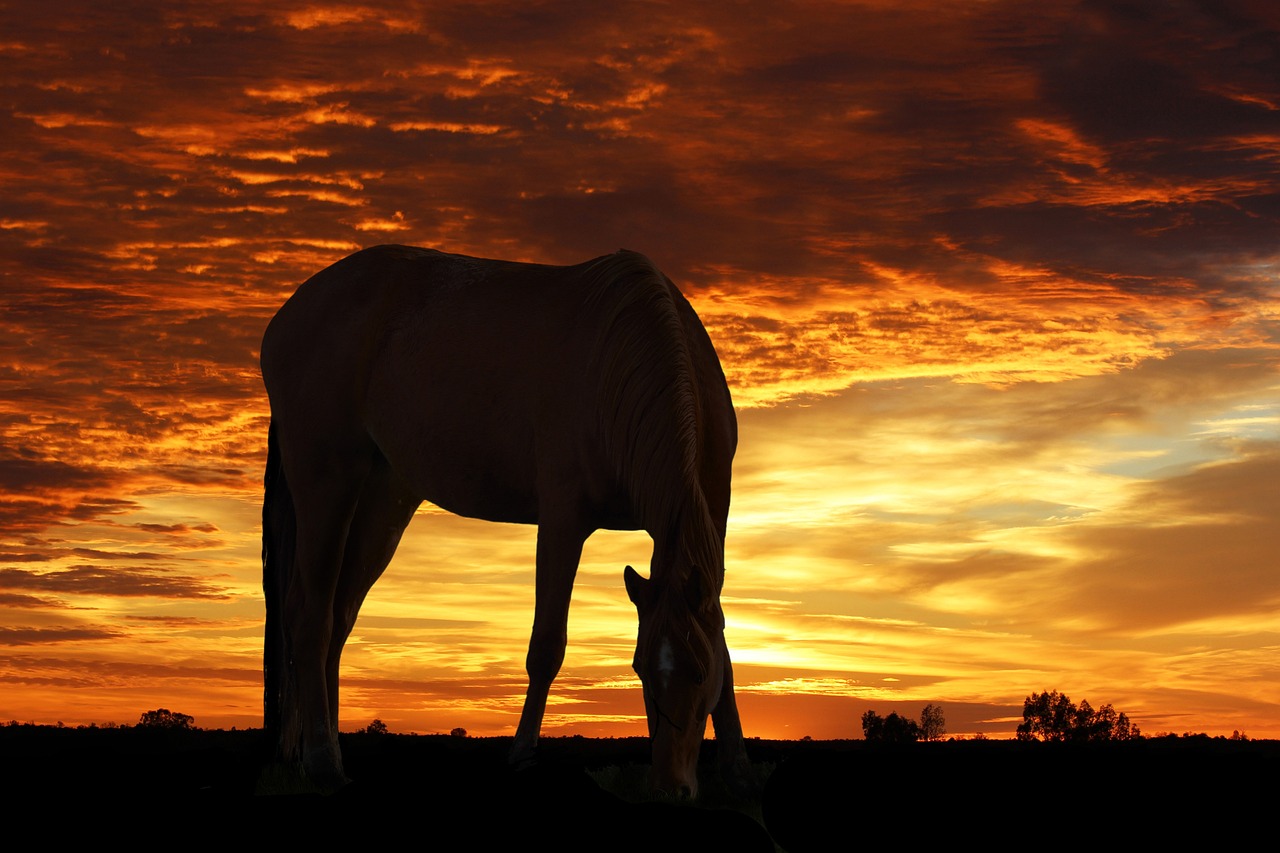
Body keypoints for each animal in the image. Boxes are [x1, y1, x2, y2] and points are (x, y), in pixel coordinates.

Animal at [262, 242, 747, 794]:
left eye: (698, 672)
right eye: (641, 670)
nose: (670, 787)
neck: (622, 361)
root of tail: (289, 315)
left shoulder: (715, 523)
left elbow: (726, 646)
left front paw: (736, 767)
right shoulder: (563, 522)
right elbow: (547, 645)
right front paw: (521, 755)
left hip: (382, 501)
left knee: (339, 618)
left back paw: (321, 757)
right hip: (327, 482)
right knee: (311, 615)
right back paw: (321, 760)